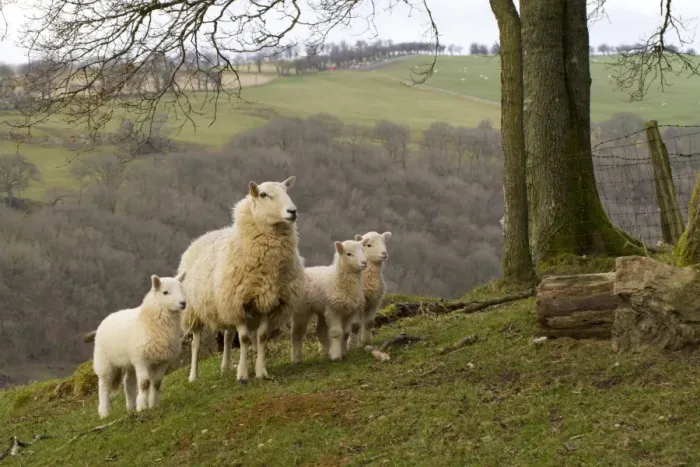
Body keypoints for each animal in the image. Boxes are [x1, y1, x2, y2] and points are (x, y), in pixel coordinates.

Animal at [93, 272, 187, 419]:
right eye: (165, 292)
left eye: (182, 289)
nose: (183, 303)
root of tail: (109, 316)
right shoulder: (142, 359)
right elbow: (144, 383)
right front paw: (142, 406)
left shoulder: (163, 360)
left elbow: (156, 383)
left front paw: (153, 405)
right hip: (104, 361)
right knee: (104, 386)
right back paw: (104, 412)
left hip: (129, 361)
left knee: (128, 382)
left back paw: (130, 407)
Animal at [179, 176, 305, 383]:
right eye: (263, 194)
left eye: (287, 191)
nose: (292, 211)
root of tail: (201, 238)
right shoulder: (238, 303)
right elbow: (245, 339)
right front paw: (243, 374)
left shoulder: (268, 302)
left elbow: (261, 336)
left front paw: (261, 371)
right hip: (195, 310)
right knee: (196, 342)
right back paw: (193, 376)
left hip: (224, 304)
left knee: (228, 336)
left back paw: (225, 367)